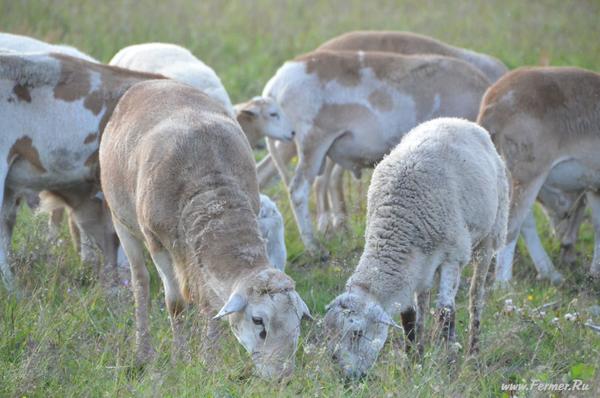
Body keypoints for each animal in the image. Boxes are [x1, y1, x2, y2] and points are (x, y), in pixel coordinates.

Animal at [99, 78, 312, 380]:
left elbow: (212, 306)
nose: (282, 377)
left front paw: (207, 361)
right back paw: (143, 351)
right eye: (258, 321)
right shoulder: (158, 243)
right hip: (122, 222)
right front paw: (180, 358)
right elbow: (175, 304)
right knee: (140, 282)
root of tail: (150, 83)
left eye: (297, 322)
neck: (212, 192)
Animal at [322, 116, 508, 378]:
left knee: (475, 297)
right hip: (425, 267)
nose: (348, 378)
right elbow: (409, 317)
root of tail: (456, 120)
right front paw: (411, 364)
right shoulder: (410, 266)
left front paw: (450, 367)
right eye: (330, 336)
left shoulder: (453, 255)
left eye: (357, 333)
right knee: (423, 302)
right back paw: (422, 349)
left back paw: (473, 352)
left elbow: (446, 313)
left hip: (491, 236)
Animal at [478, 67, 600, 282]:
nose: (566, 245)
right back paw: (503, 284)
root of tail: (494, 101)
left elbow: (598, 224)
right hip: (529, 177)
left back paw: (551, 273)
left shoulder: (593, 186)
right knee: (512, 227)